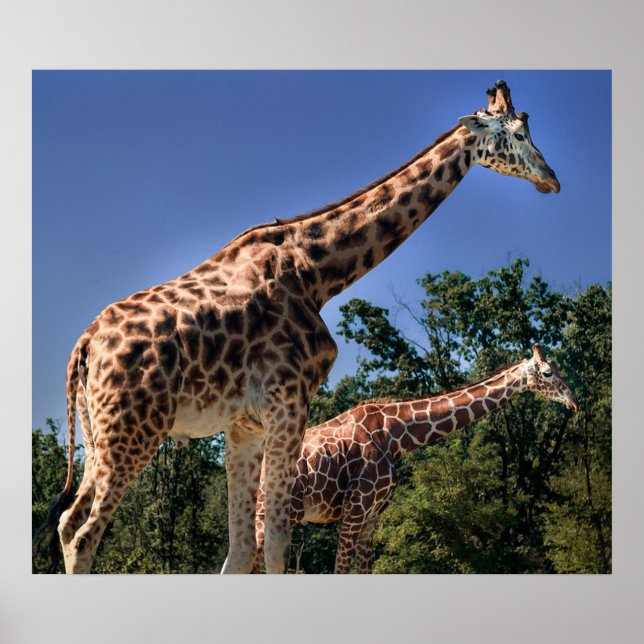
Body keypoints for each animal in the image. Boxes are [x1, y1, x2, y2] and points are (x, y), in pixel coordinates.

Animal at [254, 345, 579, 573]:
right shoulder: (354, 510)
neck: (396, 436)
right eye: (548, 373)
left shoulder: (372, 516)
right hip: (276, 513)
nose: (574, 401)